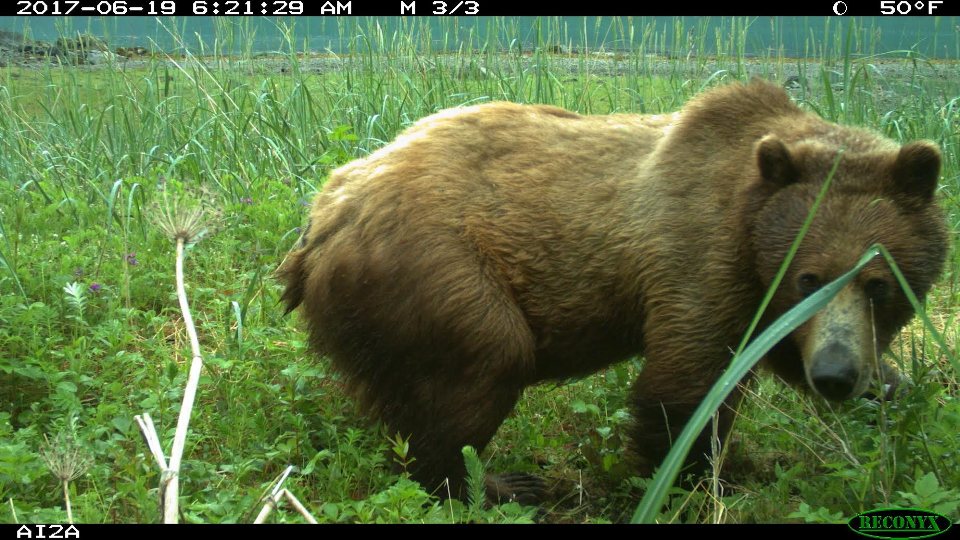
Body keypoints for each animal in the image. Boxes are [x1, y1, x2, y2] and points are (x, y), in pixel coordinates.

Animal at [276, 79, 944, 502]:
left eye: (879, 283)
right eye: (810, 276)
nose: (836, 375)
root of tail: (322, 215)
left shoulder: (763, 297)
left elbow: (769, 353)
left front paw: (890, 389)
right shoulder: (700, 255)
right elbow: (687, 386)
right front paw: (697, 481)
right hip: (434, 267)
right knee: (482, 363)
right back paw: (493, 484)